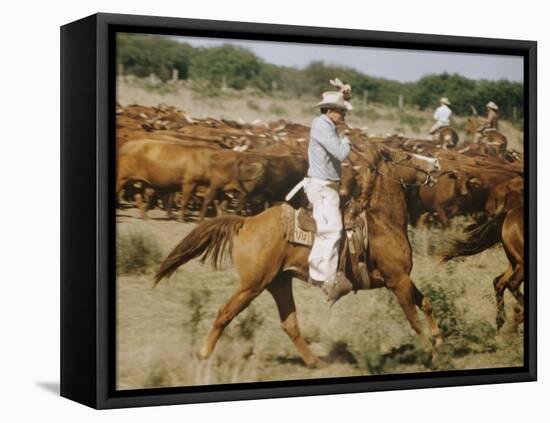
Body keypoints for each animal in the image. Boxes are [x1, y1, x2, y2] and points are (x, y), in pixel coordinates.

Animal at [154, 145, 444, 368]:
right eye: (406, 157)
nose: (436, 163)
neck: (383, 222)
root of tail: (246, 222)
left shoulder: (403, 279)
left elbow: (426, 303)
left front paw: (439, 340)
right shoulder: (397, 280)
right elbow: (413, 318)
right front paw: (429, 353)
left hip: (279, 282)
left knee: (289, 323)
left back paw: (315, 361)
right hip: (252, 285)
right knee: (226, 312)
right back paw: (204, 354)